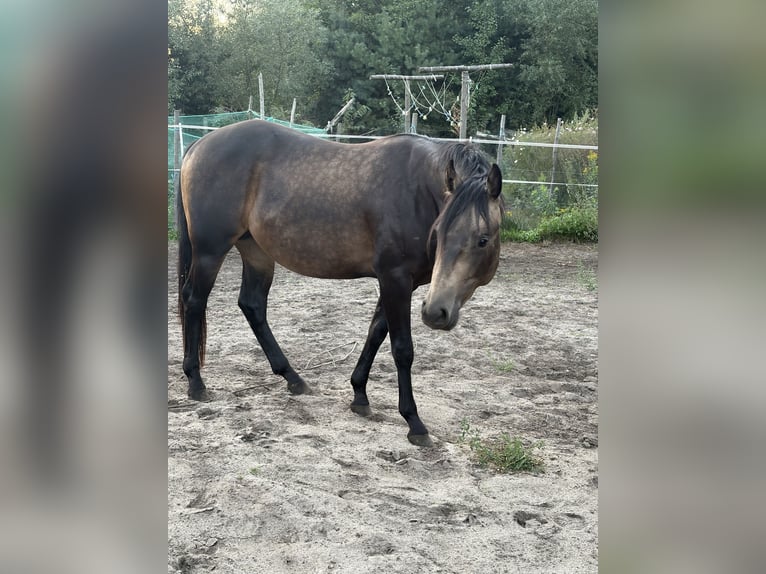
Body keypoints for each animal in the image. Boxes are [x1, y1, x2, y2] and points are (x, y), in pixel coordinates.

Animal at [176, 119, 504, 446]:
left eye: (483, 239)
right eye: (439, 233)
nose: (436, 312)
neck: (417, 191)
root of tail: (199, 145)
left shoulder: (398, 283)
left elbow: (375, 333)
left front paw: (359, 395)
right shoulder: (395, 278)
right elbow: (402, 348)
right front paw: (414, 422)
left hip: (256, 251)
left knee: (252, 306)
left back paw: (293, 378)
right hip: (210, 252)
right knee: (194, 301)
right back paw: (196, 382)